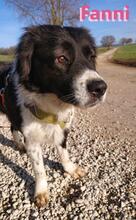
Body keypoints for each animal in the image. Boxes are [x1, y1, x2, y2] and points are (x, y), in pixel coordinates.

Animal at [0, 24, 107, 207]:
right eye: (61, 58)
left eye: (92, 56)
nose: (100, 88)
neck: (52, 106)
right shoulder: (32, 138)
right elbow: (39, 169)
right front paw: (41, 191)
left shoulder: (62, 129)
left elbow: (64, 153)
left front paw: (70, 169)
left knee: (13, 127)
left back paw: (19, 145)